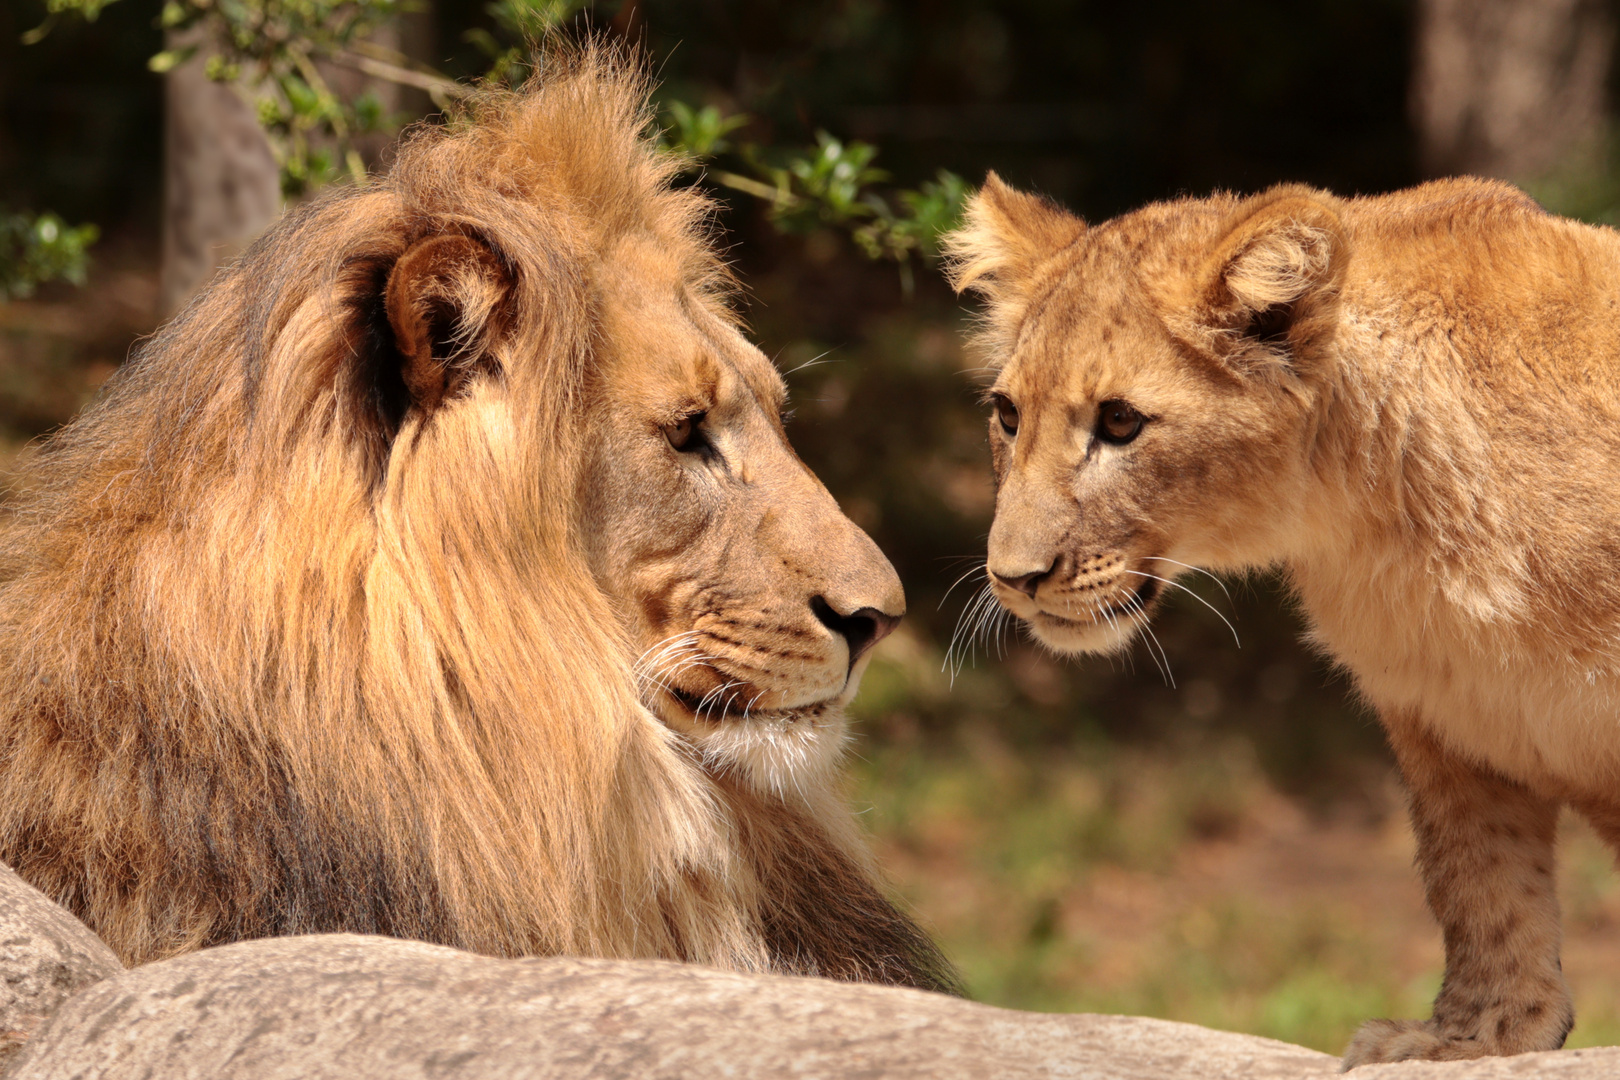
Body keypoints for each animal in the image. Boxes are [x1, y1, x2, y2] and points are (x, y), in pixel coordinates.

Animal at [946, 177, 1620, 1062]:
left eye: (1120, 421)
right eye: (1008, 414)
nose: (1013, 578)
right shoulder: (1448, 723)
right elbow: (1481, 884)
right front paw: (1475, 1036)